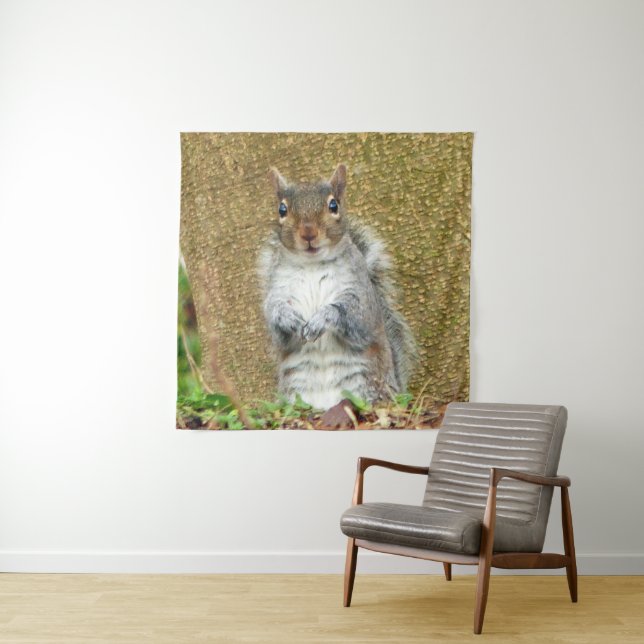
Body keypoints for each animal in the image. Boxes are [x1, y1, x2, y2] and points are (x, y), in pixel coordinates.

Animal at [257, 164, 416, 416]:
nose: (308, 233)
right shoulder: (277, 289)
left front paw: (322, 318)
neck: (312, 265)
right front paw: (288, 318)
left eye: (334, 205)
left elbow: (353, 315)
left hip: (367, 383)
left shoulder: (361, 293)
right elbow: (273, 315)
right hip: (295, 389)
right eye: (282, 209)